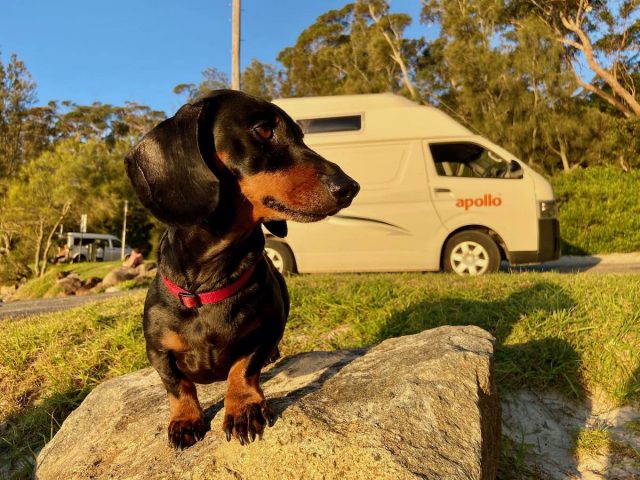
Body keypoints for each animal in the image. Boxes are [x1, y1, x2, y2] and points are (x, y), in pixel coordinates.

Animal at [122, 90, 358, 450]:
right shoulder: (157, 350)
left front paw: (243, 408)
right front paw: (185, 419)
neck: (208, 285)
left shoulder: (269, 327)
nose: (350, 187)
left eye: (301, 136)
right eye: (263, 130)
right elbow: (177, 385)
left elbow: (244, 368)